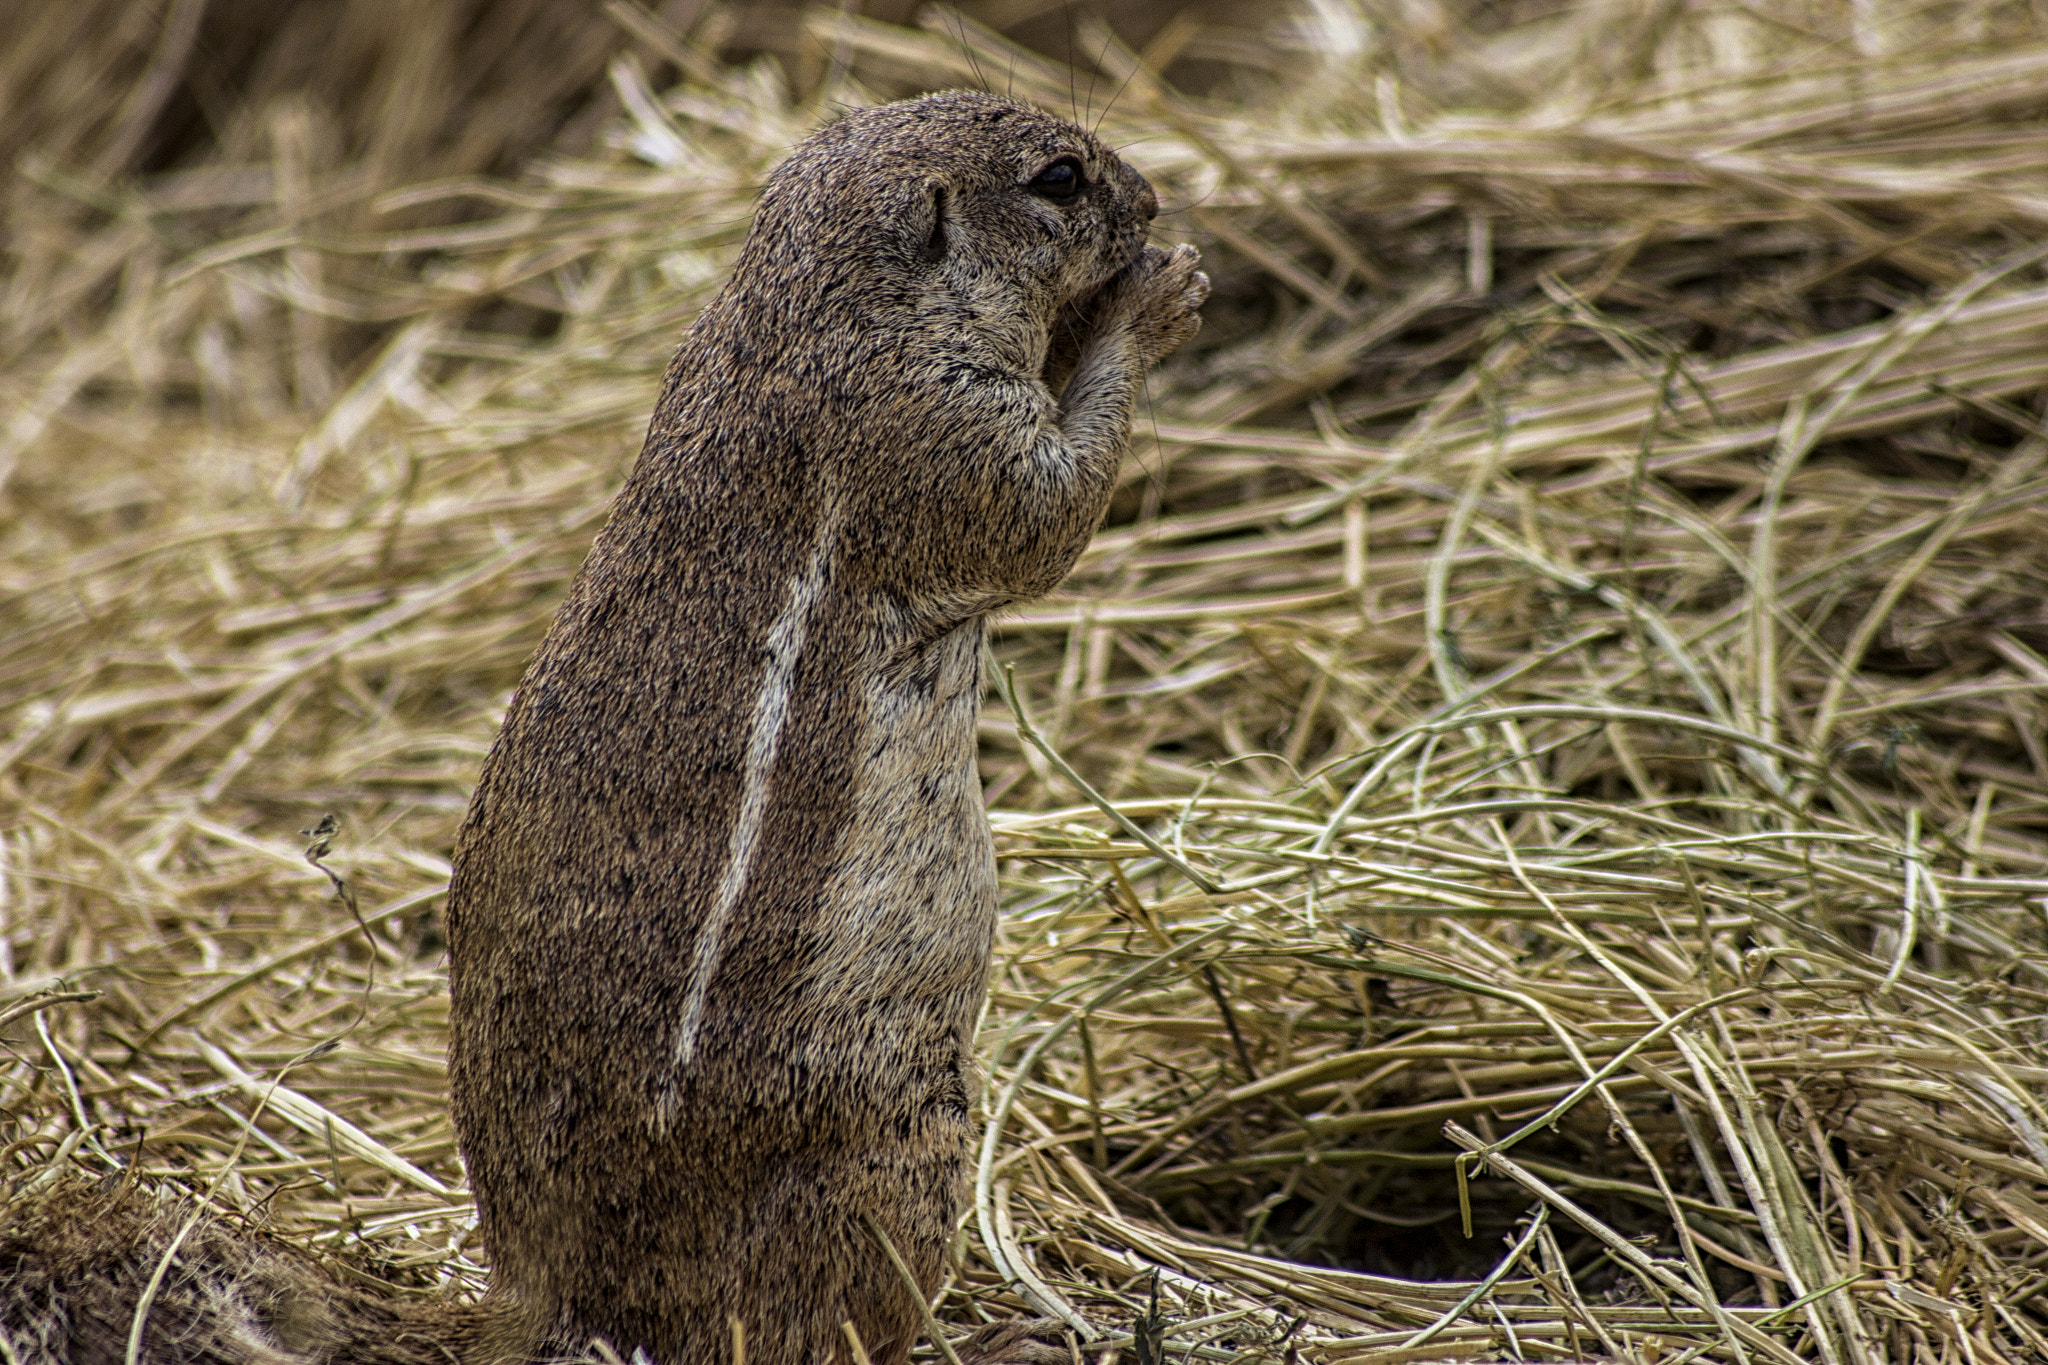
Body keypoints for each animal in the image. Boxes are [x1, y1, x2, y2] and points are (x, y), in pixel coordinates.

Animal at [1, 91, 1206, 1365]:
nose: (1150, 199)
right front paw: (1152, 296)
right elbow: (1049, 508)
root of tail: (541, 1289)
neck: (815, 311)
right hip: (895, 1150)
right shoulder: (939, 430)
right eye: (1060, 177)